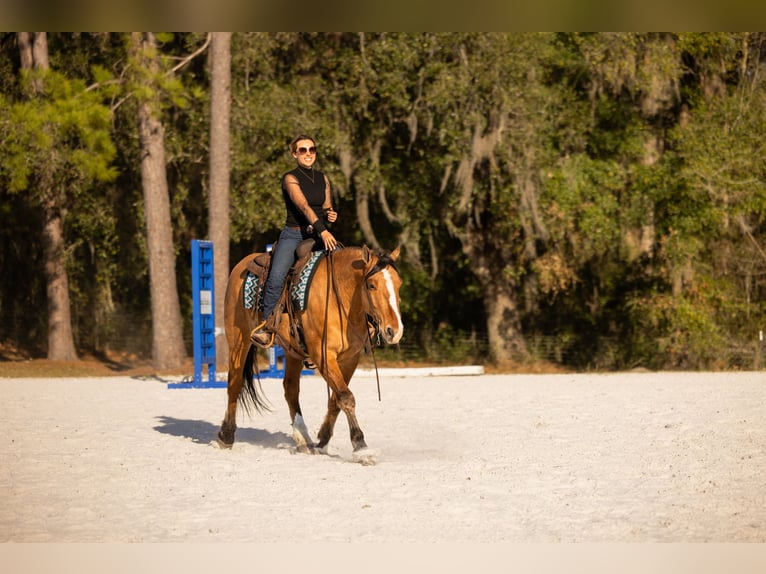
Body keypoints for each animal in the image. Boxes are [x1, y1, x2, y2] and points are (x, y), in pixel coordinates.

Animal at [217, 244, 403, 464]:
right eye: (372, 285)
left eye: (399, 284)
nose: (394, 331)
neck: (339, 297)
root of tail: (242, 265)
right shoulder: (323, 356)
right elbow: (346, 397)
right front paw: (361, 447)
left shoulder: (350, 359)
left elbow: (336, 399)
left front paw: (322, 440)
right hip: (239, 340)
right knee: (234, 383)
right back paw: (226, 436)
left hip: (293, 351)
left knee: (290, 389)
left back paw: (304, 439)